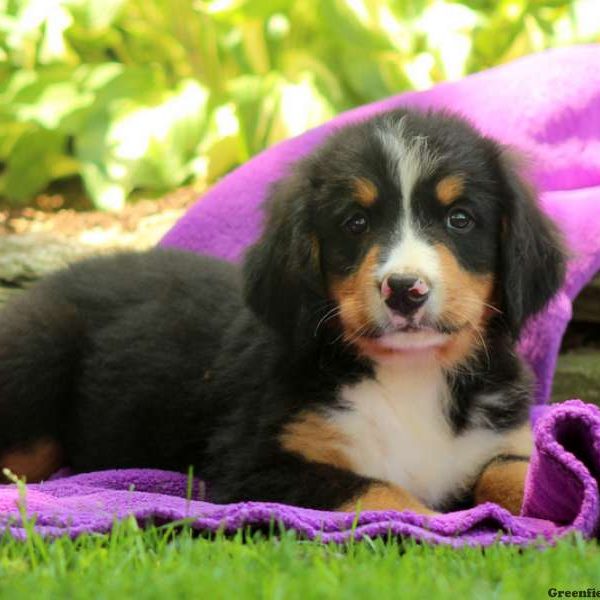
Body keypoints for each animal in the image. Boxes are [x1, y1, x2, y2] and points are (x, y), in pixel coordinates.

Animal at [0, 110, 564, 512]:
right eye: (355, 222)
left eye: (460, 219)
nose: (405, 290)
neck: (413, 374)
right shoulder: (257, 465)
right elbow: (383, 494)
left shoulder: (499, 442)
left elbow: (521, 474)